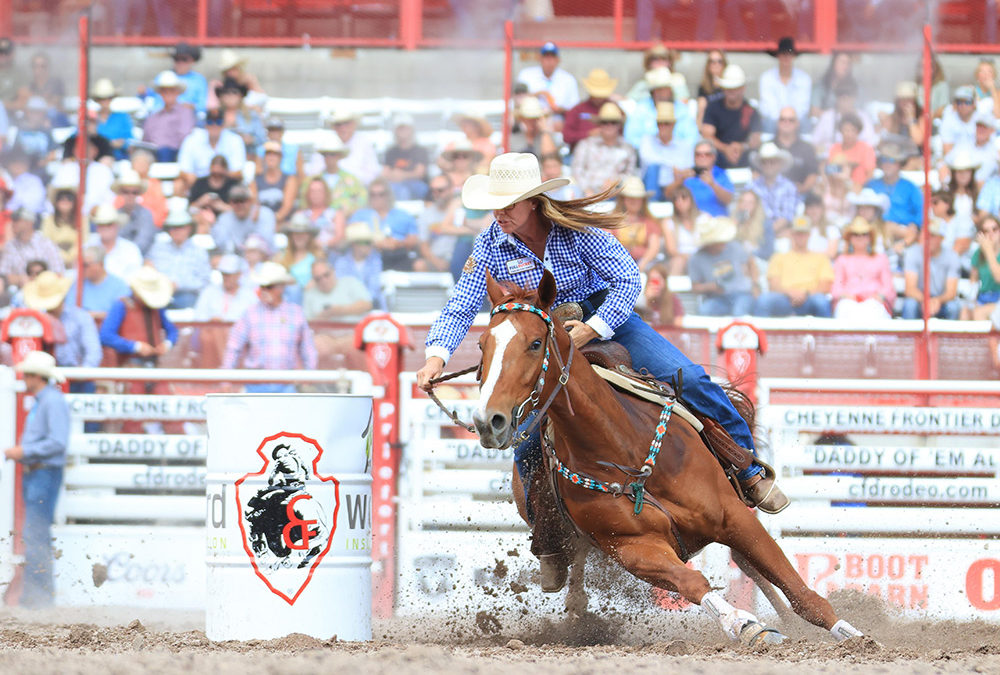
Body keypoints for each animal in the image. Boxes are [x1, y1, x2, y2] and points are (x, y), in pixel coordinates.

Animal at [472, 272, 864, 648]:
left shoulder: (734, 517)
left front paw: (852, 634)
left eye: (535, 343)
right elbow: (692, 582)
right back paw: (576, 610)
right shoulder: (632, 548)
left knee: (749, 566)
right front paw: (748, 626)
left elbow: (799, 590)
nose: (488, 420)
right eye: (482, 345)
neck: (623, 448)